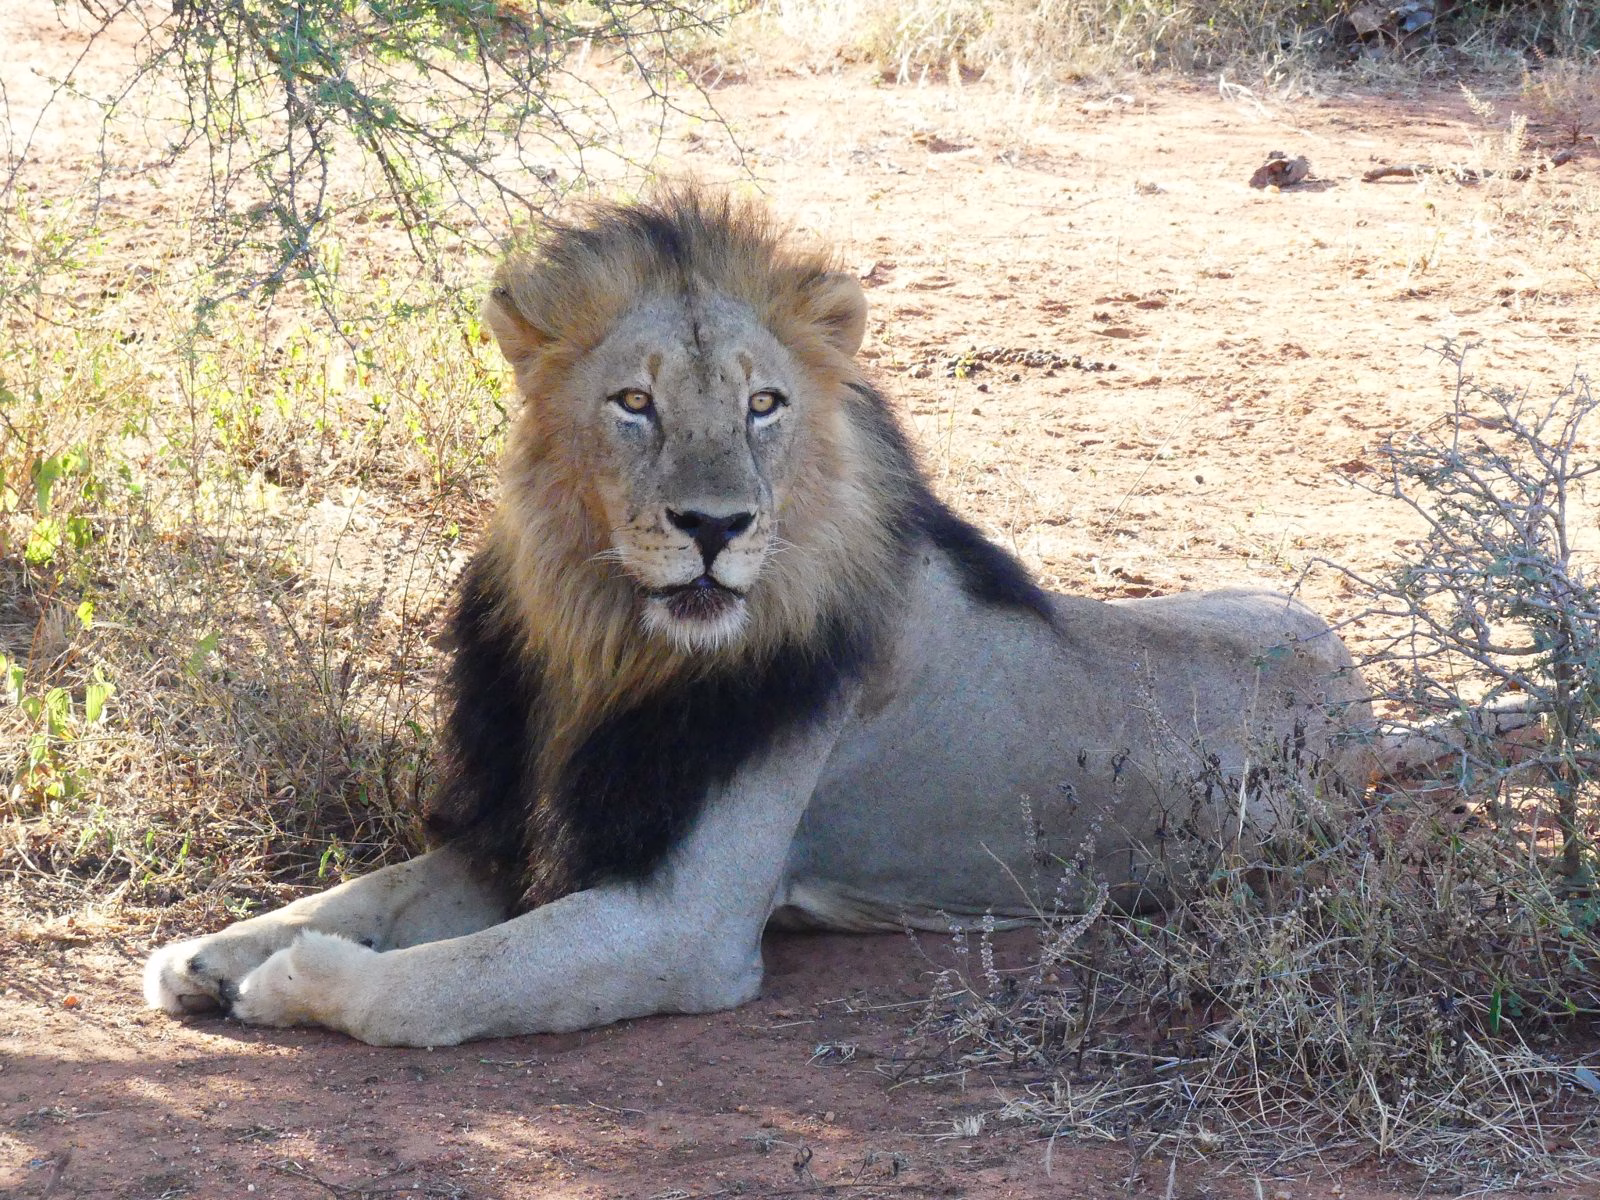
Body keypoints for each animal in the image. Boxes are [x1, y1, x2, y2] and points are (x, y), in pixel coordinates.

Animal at [143, 189, 1374, 1046]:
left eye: (764, 405)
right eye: (633, 403)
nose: (713, 524)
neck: (609, 645)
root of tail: (1364, 709)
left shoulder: (683, 925)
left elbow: (445, 982)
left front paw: (292, 978)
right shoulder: (522, 825)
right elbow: (369, 891)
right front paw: (211, 952)